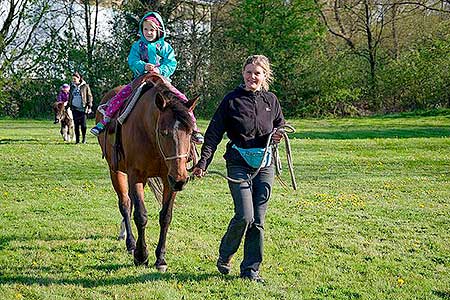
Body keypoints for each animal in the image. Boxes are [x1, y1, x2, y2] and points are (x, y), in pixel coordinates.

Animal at [96, 73, 198, 272]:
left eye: (190, 132)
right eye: (164, 132)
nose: (181, 180)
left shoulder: (169, 180)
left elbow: (165, 217)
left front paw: (161, 258)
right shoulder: (136, 175)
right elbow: (141, 215)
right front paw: (141, 256)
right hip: (116, 171)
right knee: (125, 204)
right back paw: (130, 242)